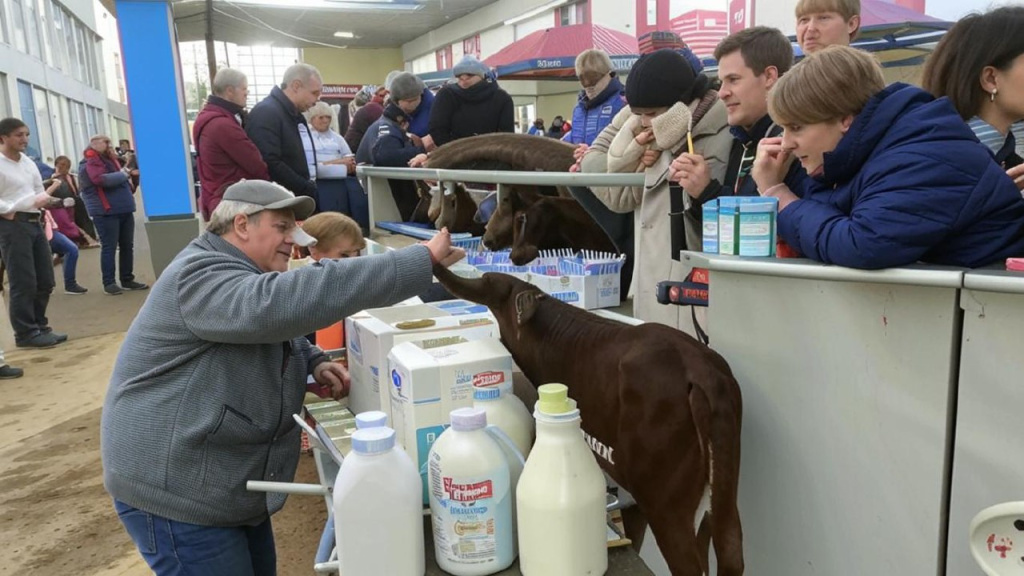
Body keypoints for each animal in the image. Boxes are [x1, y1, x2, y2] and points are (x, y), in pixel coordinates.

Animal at [432, 266, 745, 573]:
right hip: (720, 491)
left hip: (664, 499)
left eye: (493, 295)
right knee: (730, 547)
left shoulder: (635, 496)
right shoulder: (631, 500)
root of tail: (701, 373)